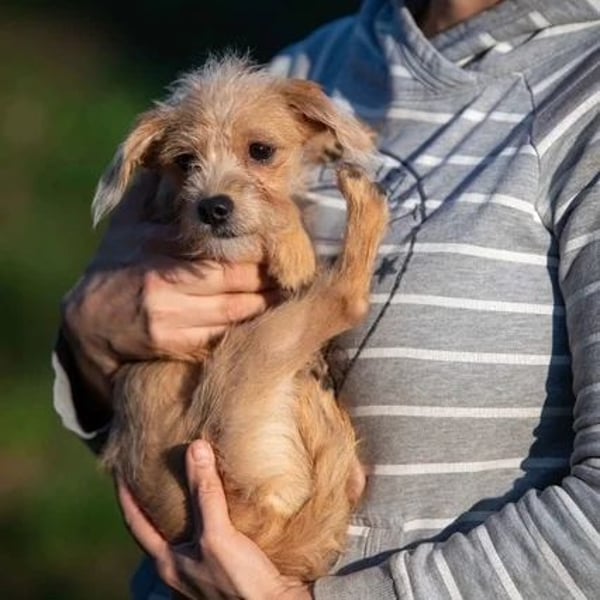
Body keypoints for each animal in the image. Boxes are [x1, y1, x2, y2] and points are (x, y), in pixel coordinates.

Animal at [93, 56, 388, 581]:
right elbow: (277, 219)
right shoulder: (179, 233)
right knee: (345, 297)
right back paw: (362, 196)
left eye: (261, 151)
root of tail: (274, 543)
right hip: (247, 361)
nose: (212, 208)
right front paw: (293, 246)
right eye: (184, 162)